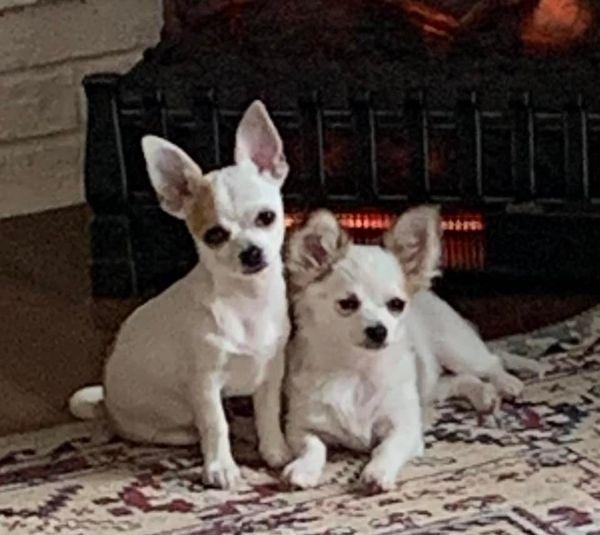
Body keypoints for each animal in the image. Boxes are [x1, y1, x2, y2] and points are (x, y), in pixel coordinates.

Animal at [69, 101, 292, 489]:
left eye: (267, 217)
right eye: (214, 236)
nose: (250, 252)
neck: (246, 301)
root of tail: (106, 407)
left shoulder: (269, 371)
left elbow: (268, 413)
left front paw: (274, 451)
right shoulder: (204, 382)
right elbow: (215, 424)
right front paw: (221, 468)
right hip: (169, 425)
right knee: (198, 428)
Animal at [282, 207, 535, 491]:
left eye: (396, 304)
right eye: (347, 304)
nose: (379, 330)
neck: (356, 370)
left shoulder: (405, 428)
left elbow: (387, 448)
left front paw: (377, 471)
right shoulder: (299, 427)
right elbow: (313, 446)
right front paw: (304, 469)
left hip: (457, 349)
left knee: (490, 363)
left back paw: (507, 383)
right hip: (430, 383)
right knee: (459, 381)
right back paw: (485, 396)